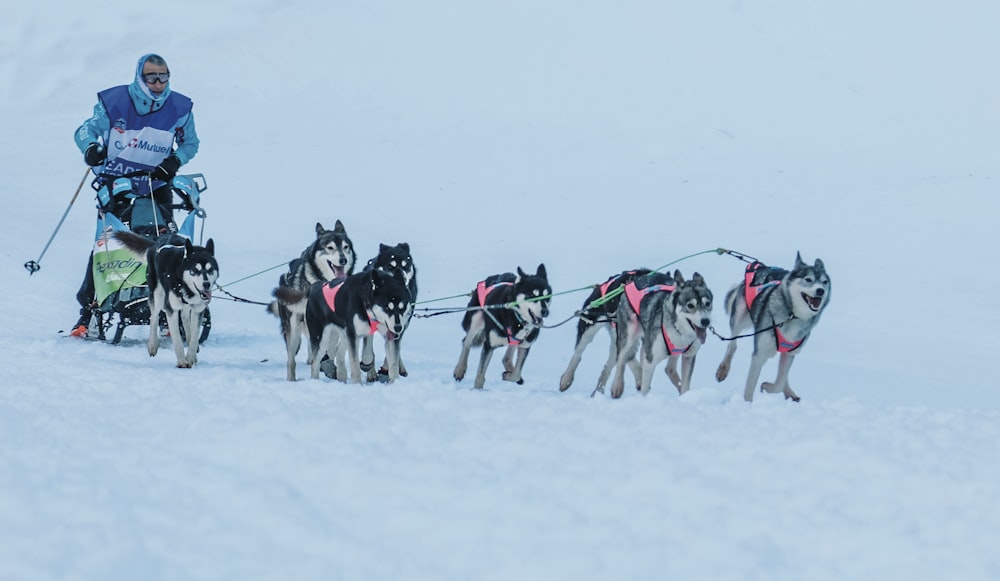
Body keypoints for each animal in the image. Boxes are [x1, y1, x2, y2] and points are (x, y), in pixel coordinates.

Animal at [113, 231, 219, 368]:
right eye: (195, 270)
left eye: (210, 269)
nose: (206, 284)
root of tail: (156, 244)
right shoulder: (171, 309)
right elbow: (177, 339)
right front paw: (181, 361)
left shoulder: (198, 310)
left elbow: (195, 337)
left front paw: (190, 357)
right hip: (157, 295)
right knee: (154, 317)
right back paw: (152, 345)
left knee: (184, 317)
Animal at [268, 221, 358, 380]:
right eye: (330, 248)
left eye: (345, 247)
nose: (343, 260)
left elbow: (333, 350)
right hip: (293, 330)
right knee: (291, 359)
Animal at [360, 242, 418, 382]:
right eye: (390, 266)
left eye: (406, 266)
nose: (402, 277)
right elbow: (368, 350)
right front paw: (368, 367)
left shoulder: (398, 325)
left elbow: (393, 355)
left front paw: (393, 377)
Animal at [604, 270, 716, 398]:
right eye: (690, 305)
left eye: (707, 303)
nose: (706, 321)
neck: (678, 330)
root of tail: (635, 279)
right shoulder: (650, 360)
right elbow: (645, 386)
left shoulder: (688, 356)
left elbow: (685, 386)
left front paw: (684, 397)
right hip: (628, 335)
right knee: (621, 357)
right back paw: (617, 385)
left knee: (669, 369)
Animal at [716, 251, 832, 402]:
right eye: (808, 279)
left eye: (825, 282)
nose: (820, 291)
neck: (792, 315)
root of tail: (761, 266)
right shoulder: (760, 354)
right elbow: (750, 387)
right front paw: (747, 404)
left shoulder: (790, 352)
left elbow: (780, 382)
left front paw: (767, 386)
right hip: (739, 319)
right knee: (732, 344)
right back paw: (723, 369)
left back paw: (789, 392)